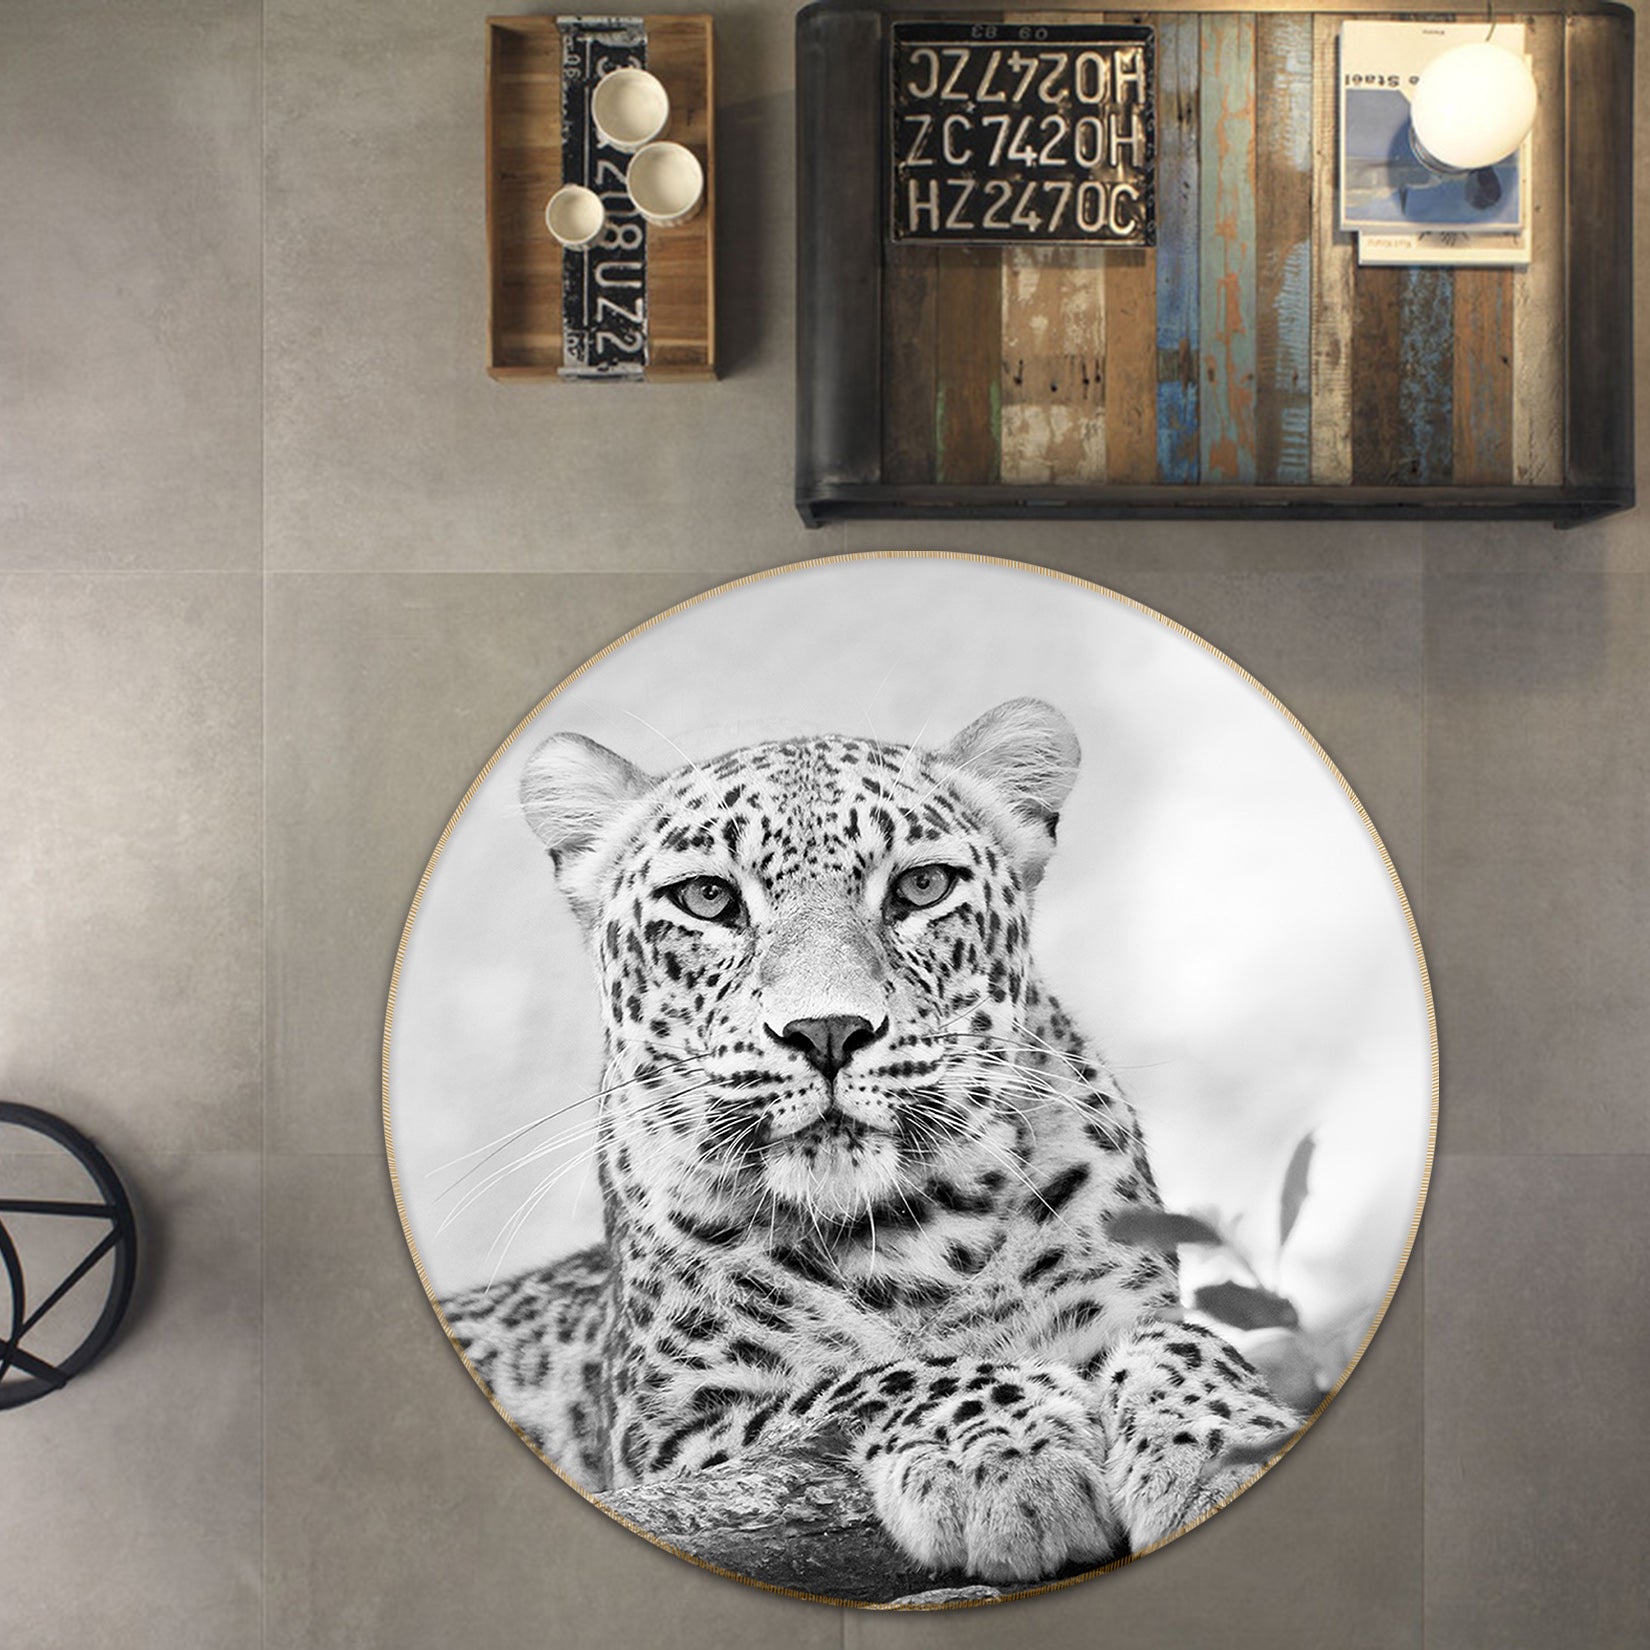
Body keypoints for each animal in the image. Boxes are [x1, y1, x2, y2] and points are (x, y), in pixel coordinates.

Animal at [440, 698, 1296, 1588]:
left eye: (922, 886)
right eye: (708, 898)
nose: (827, 1031)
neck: (917, 1239)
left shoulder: (1130, 1297)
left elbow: (1187, 1338)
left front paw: (1224, 1444)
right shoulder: (666, 1440)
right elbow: (866, 1378)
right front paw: (1007, 1458)